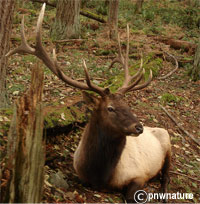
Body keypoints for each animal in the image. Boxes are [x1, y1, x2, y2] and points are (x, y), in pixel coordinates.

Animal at [7, 3, 171, 202]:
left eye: (128, 105)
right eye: (110, 108)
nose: (138, 127)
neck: (100, 174)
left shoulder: (140, 174)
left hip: (168, 143)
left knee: (167, 174)